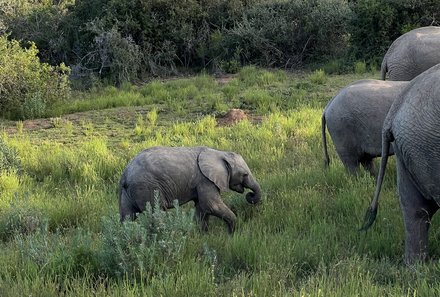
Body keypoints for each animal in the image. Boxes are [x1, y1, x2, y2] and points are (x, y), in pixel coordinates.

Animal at [118, 146, 262, 234]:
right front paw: (232, 235)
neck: (219, 152)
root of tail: (126, 174)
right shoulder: (205, 180)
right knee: (156, 214)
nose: (249, 195)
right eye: (245, 175)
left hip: (126, 192)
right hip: (147, 187)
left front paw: (203, 236)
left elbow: (202, 209)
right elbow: (211, 205)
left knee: (127, 217)